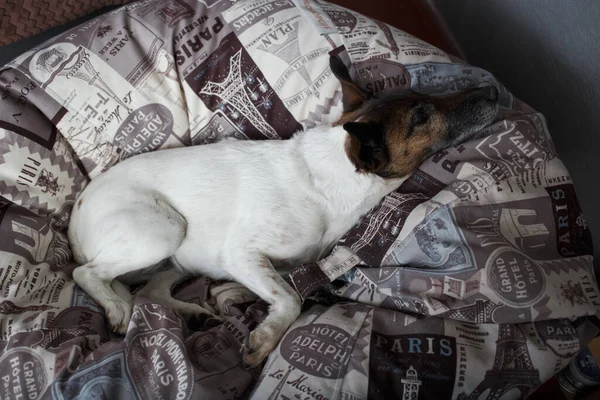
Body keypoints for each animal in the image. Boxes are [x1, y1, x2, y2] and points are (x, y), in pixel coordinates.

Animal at [68, 57, 500, 368]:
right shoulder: (240, 253)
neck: (333, 174)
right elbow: (291, 298)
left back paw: (193, 311)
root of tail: (74, 219)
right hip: (166, 228)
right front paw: (265, 336)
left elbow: (286, 284)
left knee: (150, 292)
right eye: (421, 116)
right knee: (88, 275)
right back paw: (117, 307)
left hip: (174, 259)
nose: (494, 90)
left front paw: (234, 295)